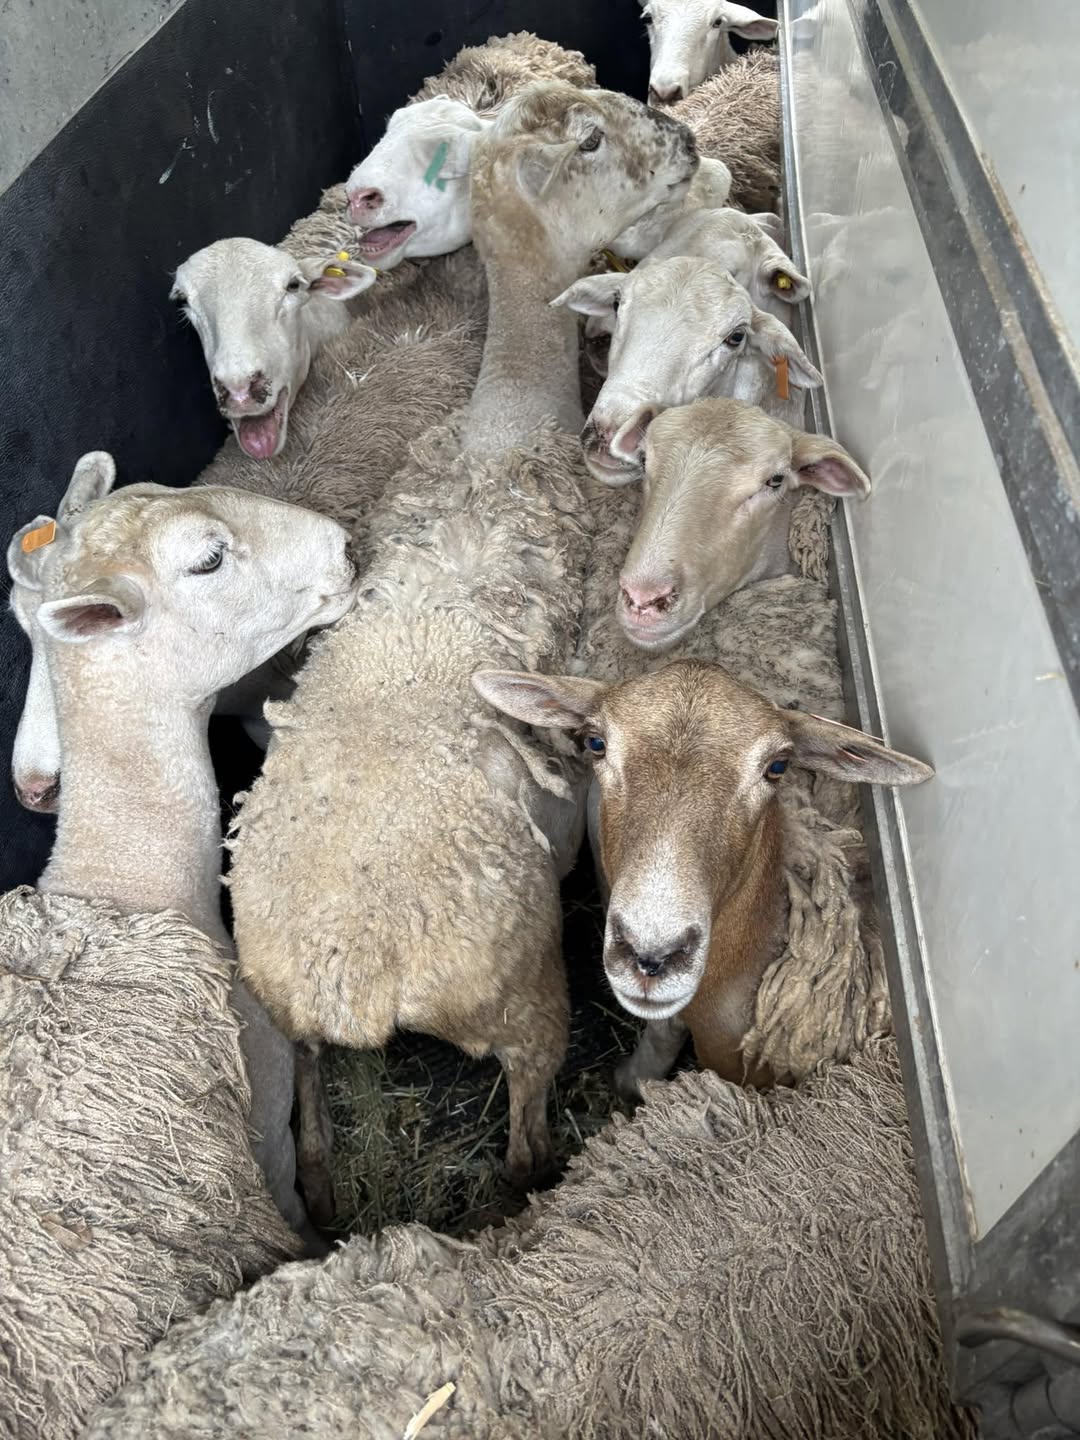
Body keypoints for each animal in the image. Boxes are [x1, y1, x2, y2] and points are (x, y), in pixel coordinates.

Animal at [225, 81, 699, 1224]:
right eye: (591, 140)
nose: (683, 134)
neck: (505, 425)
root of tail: (349, 973)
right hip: (524, 997)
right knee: (525, 1136)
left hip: (288, 1022)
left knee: (311, 1118)